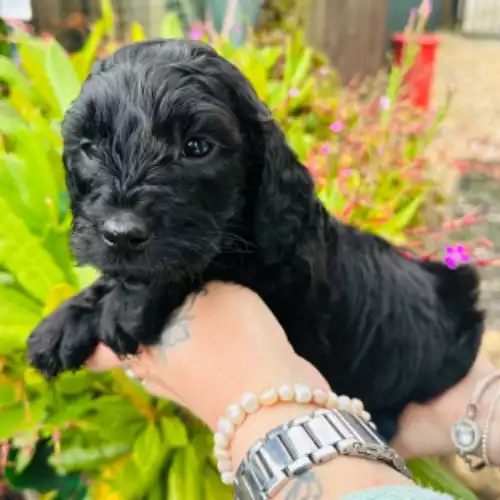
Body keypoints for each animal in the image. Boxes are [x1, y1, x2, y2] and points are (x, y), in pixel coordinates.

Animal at [27, 38, 484, 438]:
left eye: (197, 147)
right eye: (90, 147)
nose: (120, 234)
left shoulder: (281, 280)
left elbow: (208, 259)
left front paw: (127, 304)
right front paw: (63, 322)